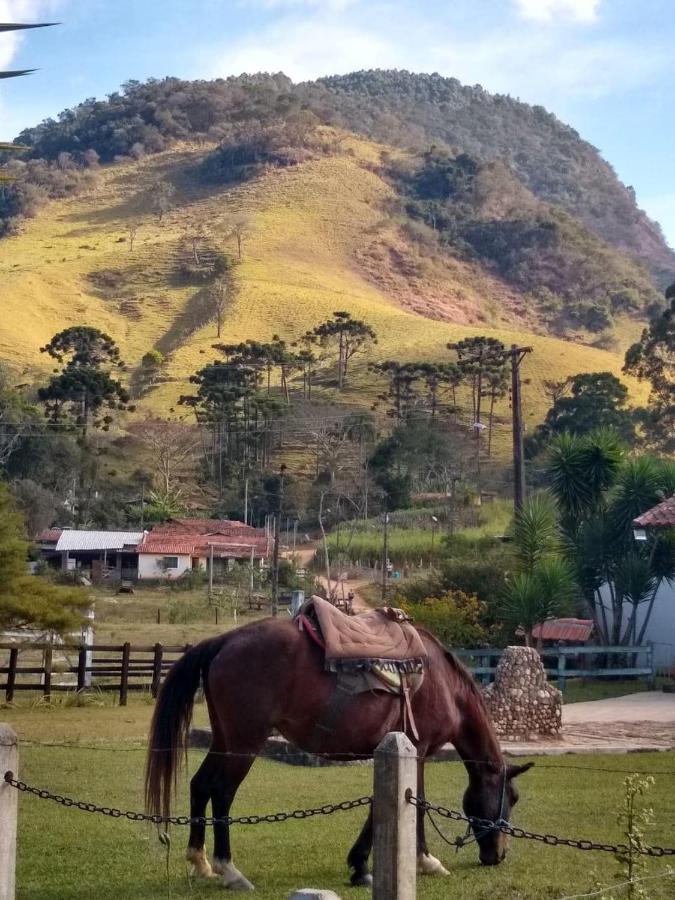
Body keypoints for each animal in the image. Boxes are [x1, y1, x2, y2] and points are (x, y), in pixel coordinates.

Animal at [144, 616, 532, 888]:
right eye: (511, 798)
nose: (499, 855)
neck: (443, 685)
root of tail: (225, 640)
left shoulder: (396, 751)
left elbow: (386, 802)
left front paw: (361, 867)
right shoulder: (417, 750)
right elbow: (417, 804)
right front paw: (423, 861)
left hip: (225, 739)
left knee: (200, 785)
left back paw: (200, 863)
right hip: (244, 742)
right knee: (222, 792)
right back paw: (230, 870)